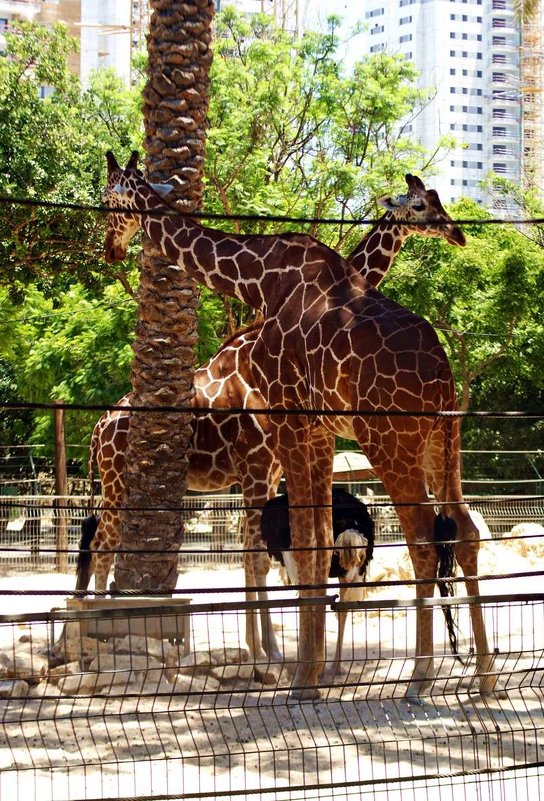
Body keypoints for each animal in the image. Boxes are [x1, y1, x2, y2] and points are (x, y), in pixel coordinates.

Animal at [100, 152, 496, 700]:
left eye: (108, 197)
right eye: (422, 204)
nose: (110, 246)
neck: (258, 277)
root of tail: (442, 375)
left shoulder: (288, 420)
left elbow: (304, 544)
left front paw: (300, 676)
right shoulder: (319, 429)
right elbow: (315, 540)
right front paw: (307, 669)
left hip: (388, 440)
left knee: (421, 538)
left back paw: (419, 676)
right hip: (442, 440)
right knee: (466, 531)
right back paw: (484, 676)